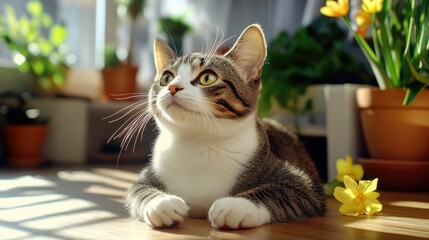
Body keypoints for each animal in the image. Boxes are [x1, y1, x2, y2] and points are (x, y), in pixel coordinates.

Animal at [123, 23, 324, 229]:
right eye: (166, 78)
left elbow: (282, 191)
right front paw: (162, 203)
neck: (199, 143)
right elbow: (139, 190)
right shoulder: (147, 176)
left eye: (207, 78)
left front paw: (236, 205)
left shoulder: (304, 186)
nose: (172, 87)